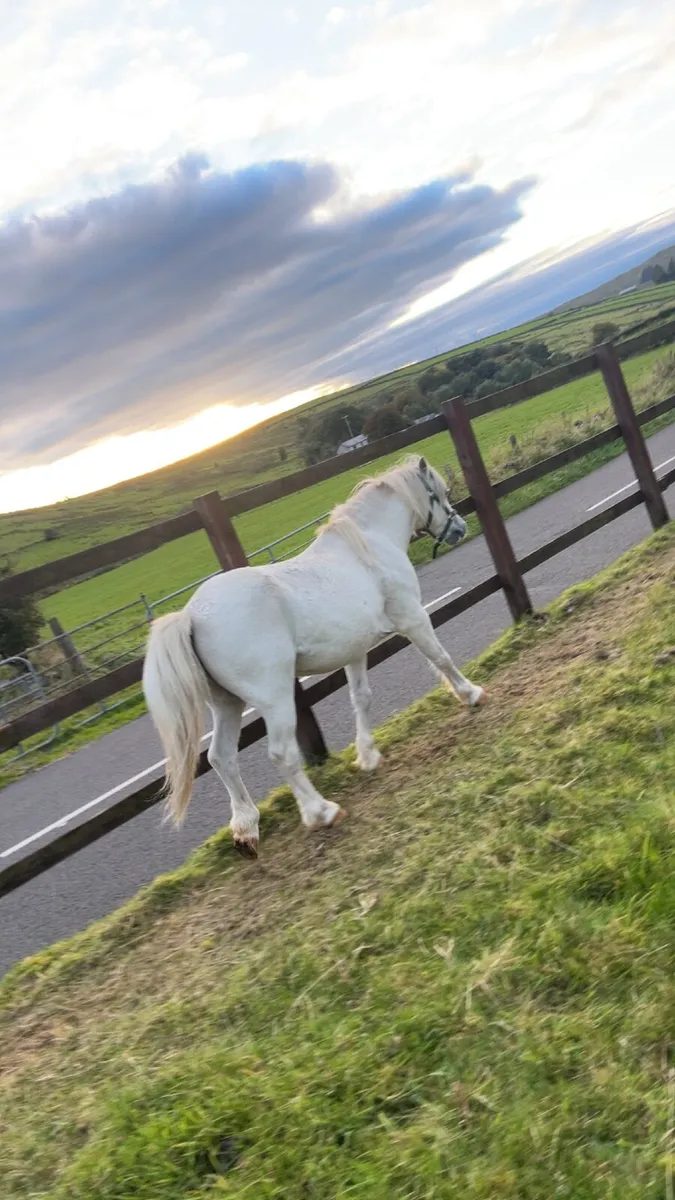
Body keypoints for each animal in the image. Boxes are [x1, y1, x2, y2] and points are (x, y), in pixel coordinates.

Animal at [142, 455, 486, 856]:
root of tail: (192, 616)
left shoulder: (355, 648)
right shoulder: (412, 618)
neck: (368, 546)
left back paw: (245, 828)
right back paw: (321, 811)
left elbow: (361, 698)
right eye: (440, 493)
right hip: (275, 700)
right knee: (280, 753)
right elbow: (441, 657)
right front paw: (471, 694)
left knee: (220, 757)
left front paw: (368, 756)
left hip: (227, 704)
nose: (459, 527)